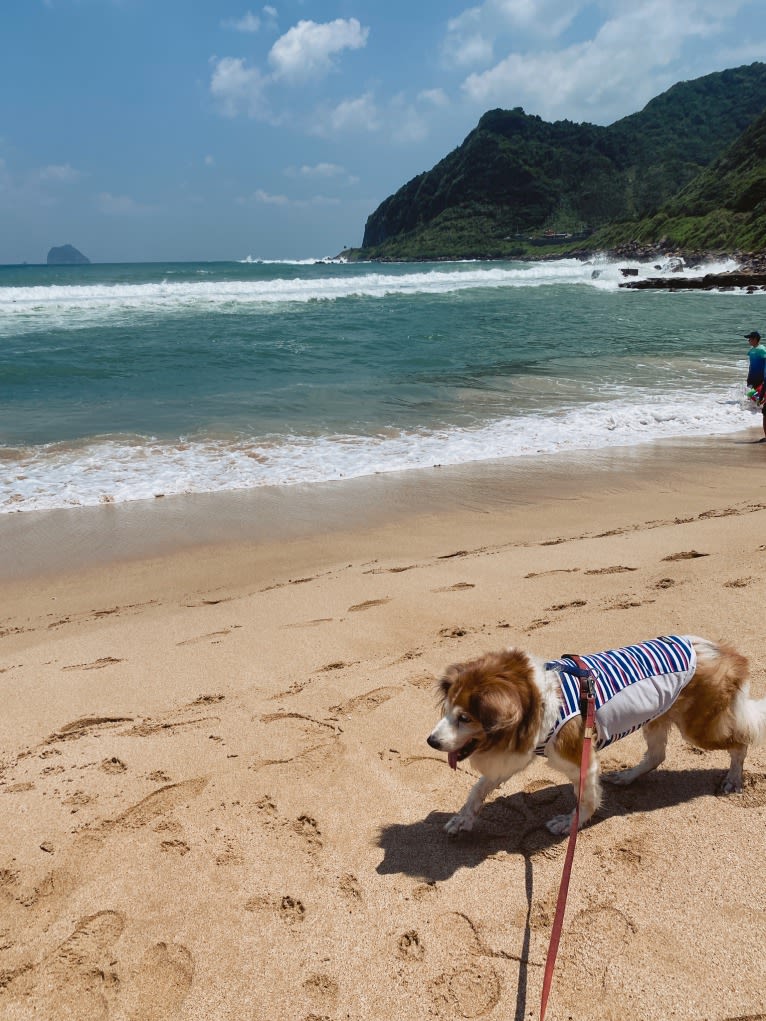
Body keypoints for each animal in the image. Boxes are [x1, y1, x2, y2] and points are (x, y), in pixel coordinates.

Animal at [426, 637, 766, 837]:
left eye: (465, 718)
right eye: (448, 711)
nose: (431, 741)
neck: (539, 700)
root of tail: (727, 655)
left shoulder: (582, 762)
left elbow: (586, 799)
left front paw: (568, 824)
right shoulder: (520, 754)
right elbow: (478, 789)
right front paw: (463, 819)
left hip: (699, 729)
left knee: (740, 742)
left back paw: (733, 779)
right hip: (658, 718)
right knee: (657, 756)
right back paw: (627, 777)